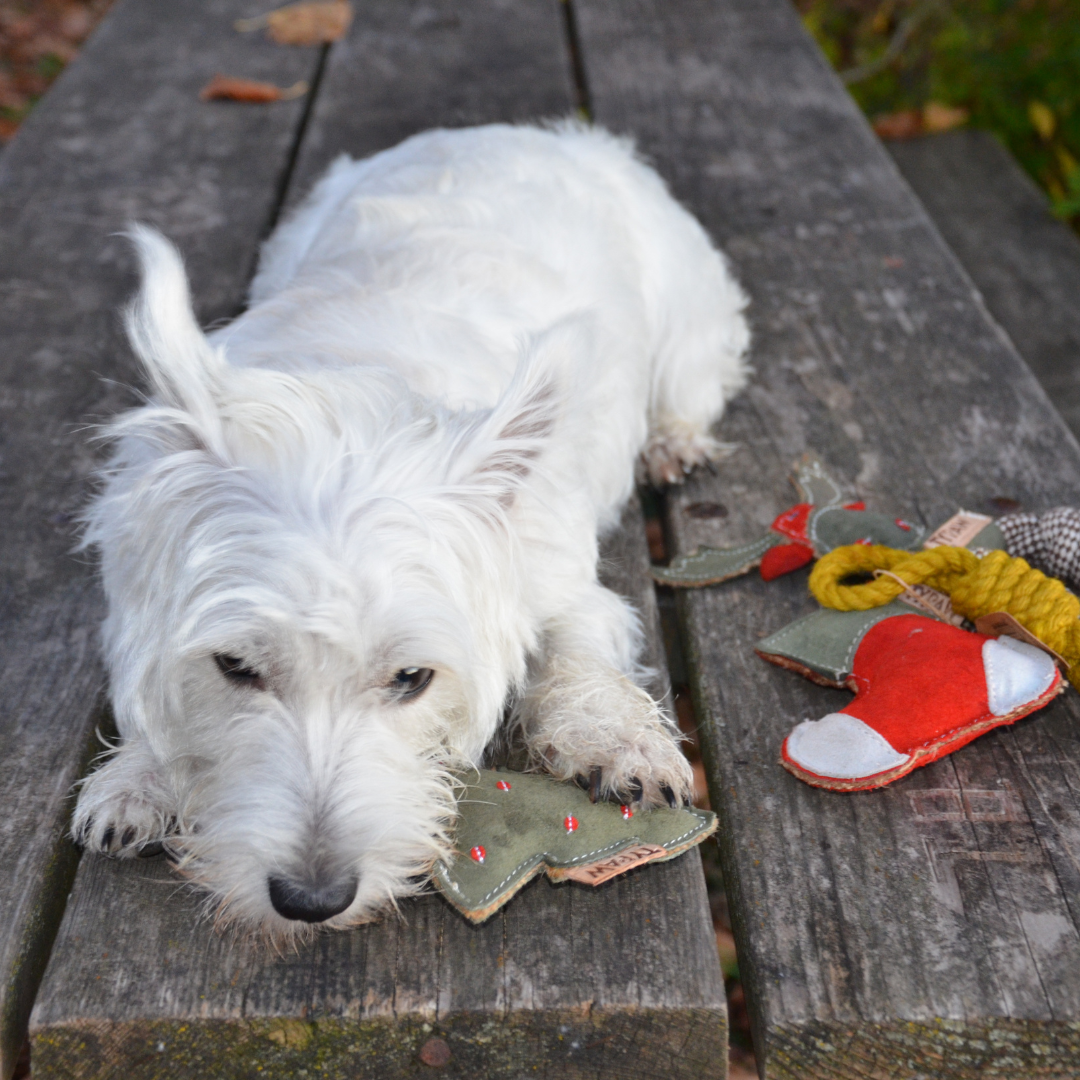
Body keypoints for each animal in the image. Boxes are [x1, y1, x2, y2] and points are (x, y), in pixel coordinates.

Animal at [71, 122, 751, 937]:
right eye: (234, 667)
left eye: (411, 679)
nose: (311, 900)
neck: (352, 410)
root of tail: (519, 130)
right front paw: (141, 775)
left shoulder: (559, 579)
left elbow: (578, 654)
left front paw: (621, 740)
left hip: (687, 328)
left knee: (692, 385)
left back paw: (672, 443)